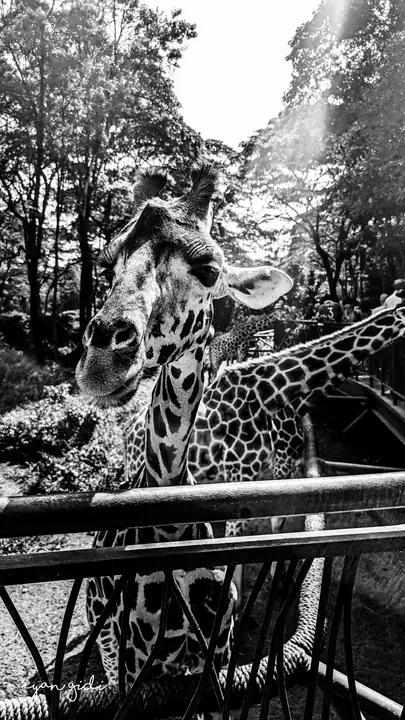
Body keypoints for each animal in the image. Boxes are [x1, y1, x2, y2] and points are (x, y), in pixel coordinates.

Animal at [75, 163, 293, 696]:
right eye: (107, 269)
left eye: (210, 271)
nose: (101, 362)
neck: (173, 528)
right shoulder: (135, 656)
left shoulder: (219, 649)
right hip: (102, 632)